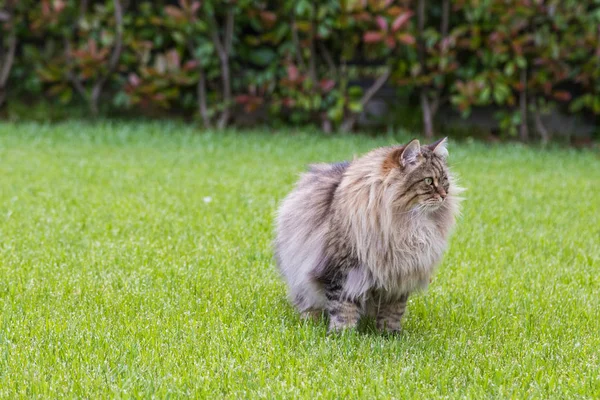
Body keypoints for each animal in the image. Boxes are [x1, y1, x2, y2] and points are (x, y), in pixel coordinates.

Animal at [274, 139, 464, 332]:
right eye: (428, 181)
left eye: (445, 180)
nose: (444, 195)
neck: (409, 224)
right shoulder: (342, 270)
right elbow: (343, 306)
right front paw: (343, 333)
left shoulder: (401, 272)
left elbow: (394, 310)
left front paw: (389, 333)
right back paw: (311, 319)